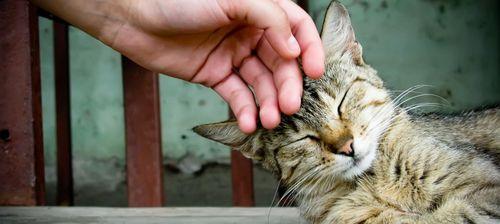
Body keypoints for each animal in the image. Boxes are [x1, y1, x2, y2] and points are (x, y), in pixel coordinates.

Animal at [193, 1, 498, 224]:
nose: (347, 147)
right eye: (304, 138)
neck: (371, 182)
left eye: (341, 102)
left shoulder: (487, 190)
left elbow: (452, 216)